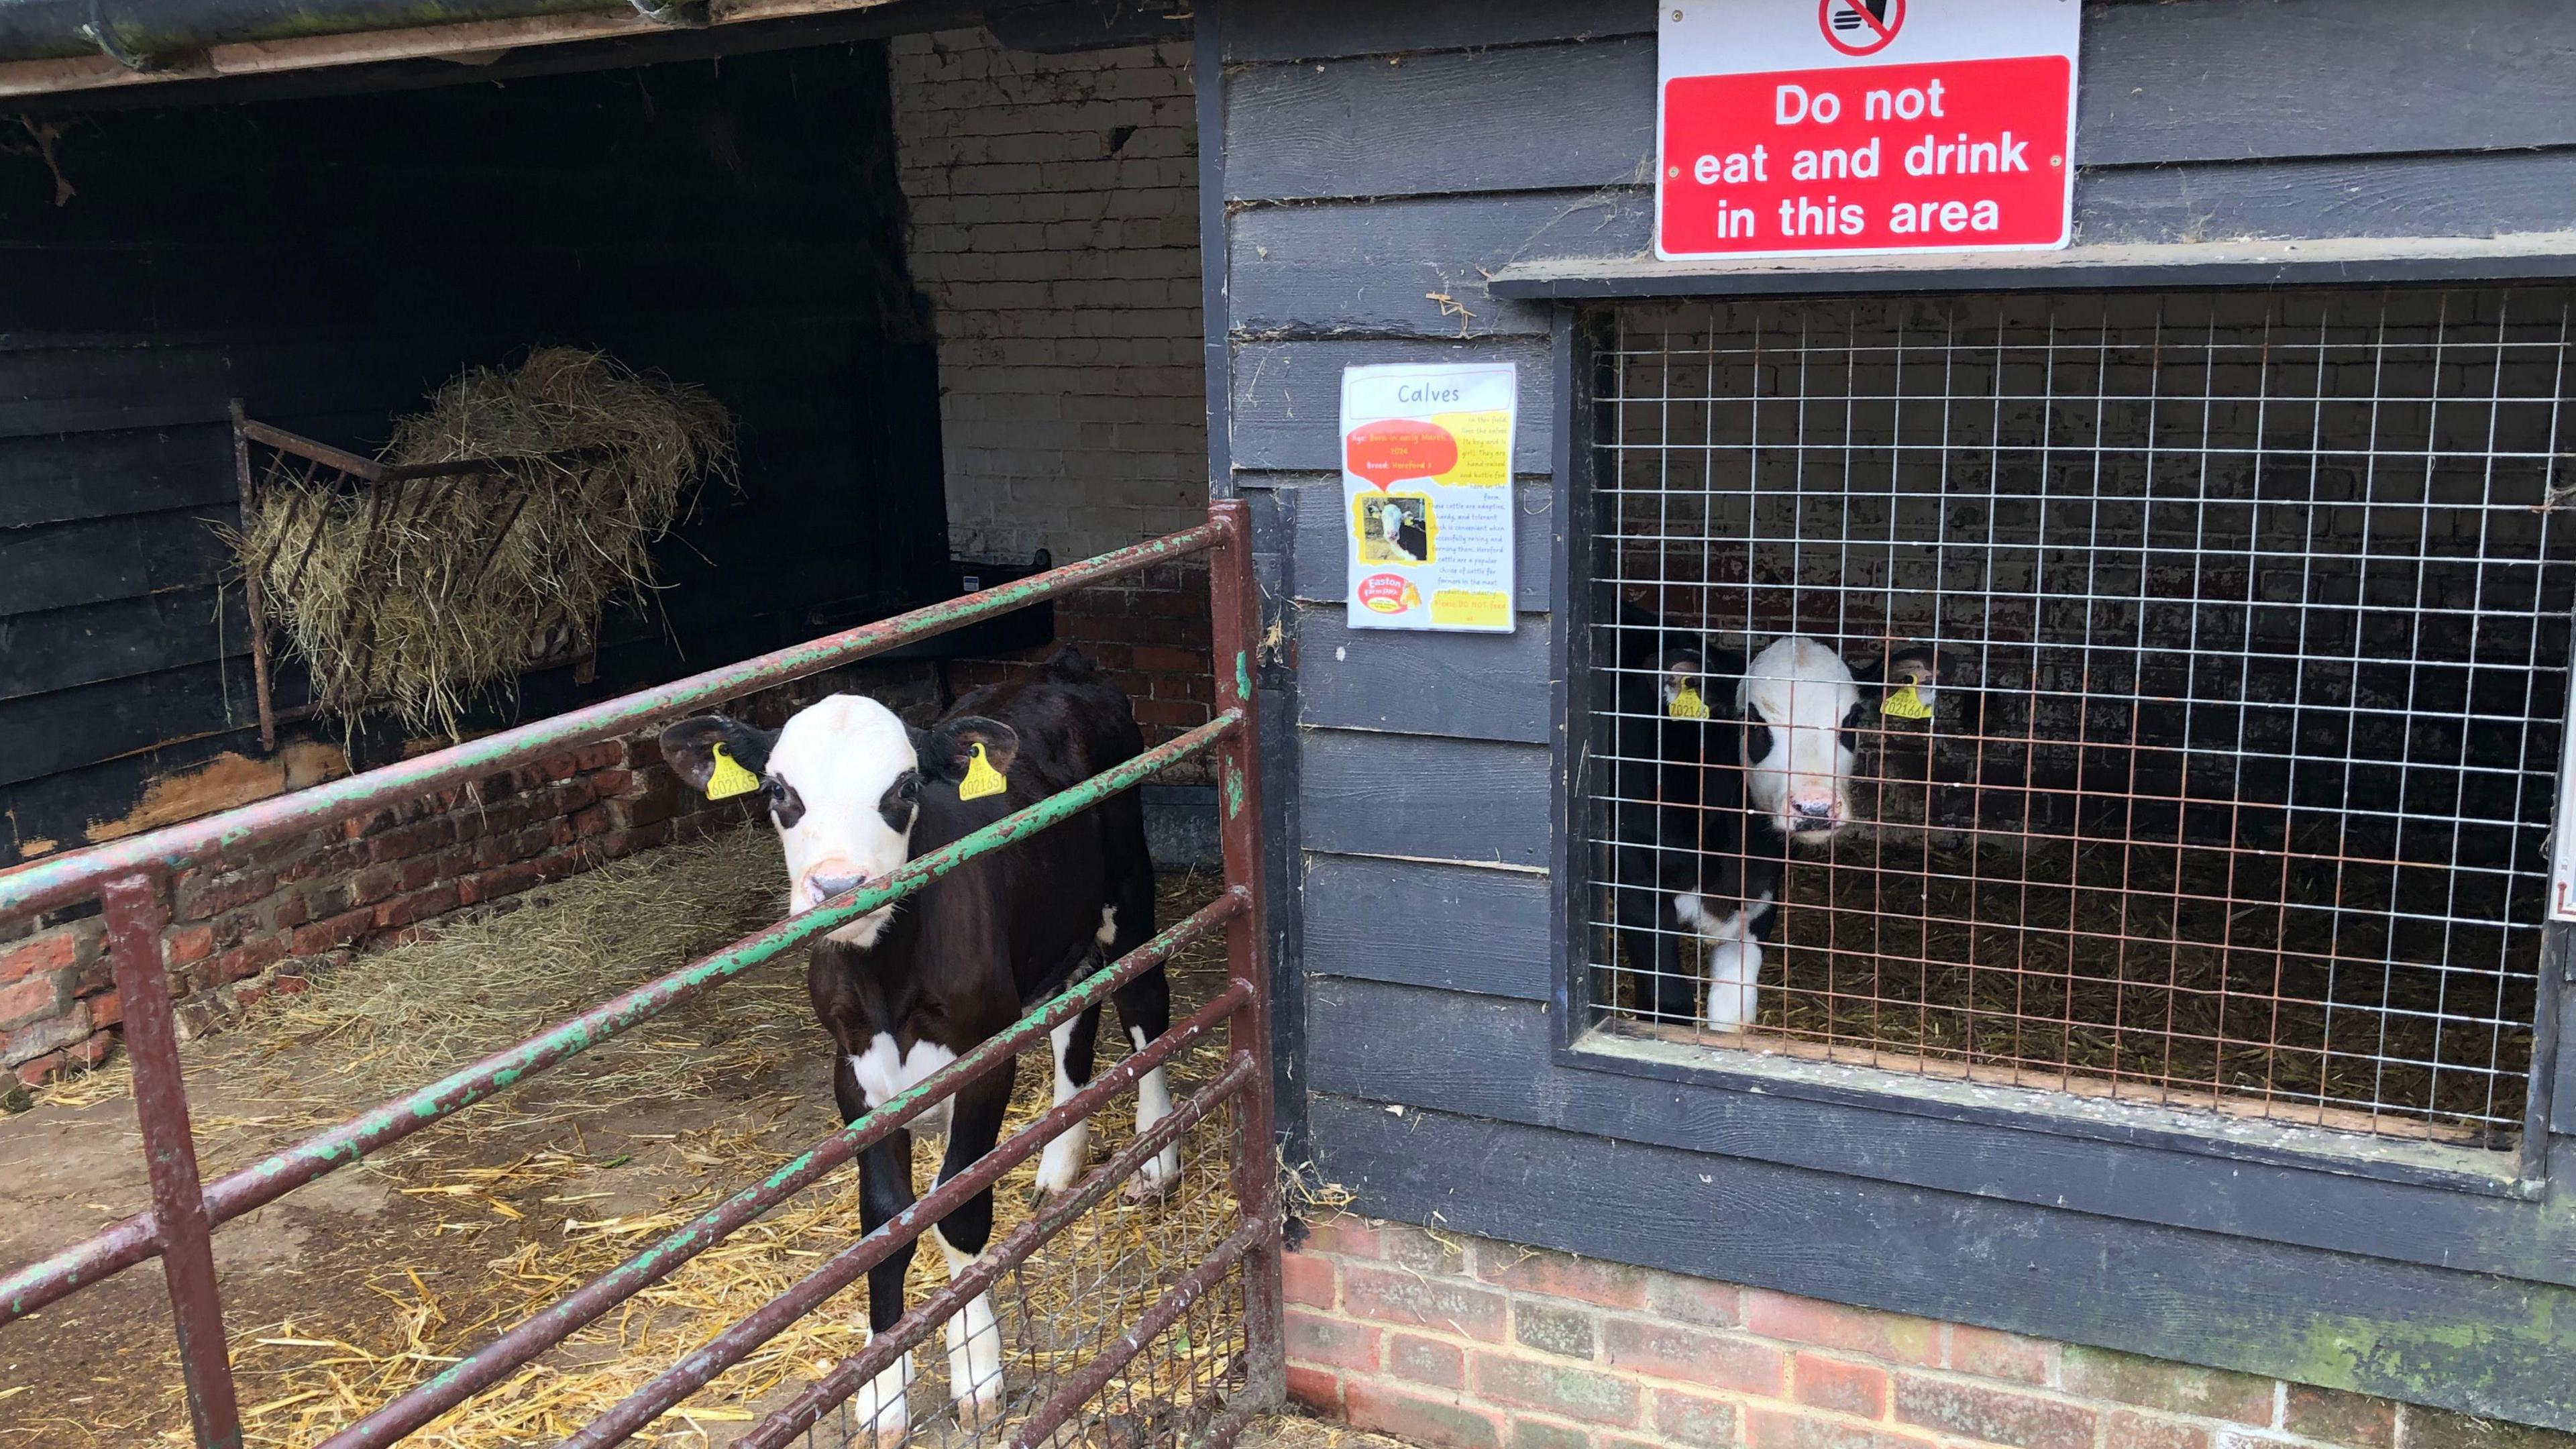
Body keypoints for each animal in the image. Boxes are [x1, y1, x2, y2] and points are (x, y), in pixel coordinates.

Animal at [654, 649, 1169, 1433]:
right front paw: (880, 1390)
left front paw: (978, 1370)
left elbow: (957, 1211)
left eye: (903, 787)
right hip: (1058, 928)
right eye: (778, 789)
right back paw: (1058, 1163)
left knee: (1144, 1002)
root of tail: (1061, 670)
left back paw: (1157, 1153)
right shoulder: (853, 1076)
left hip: (1129, 890)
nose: (839, 885)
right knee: (1072, 1020)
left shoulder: (983, 1058)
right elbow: (886, 1225)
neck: (885, 976)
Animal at [1597, 603, 1937, 1031]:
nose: (1814, 808)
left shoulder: (1762, 896)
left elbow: (1731, 1018)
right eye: (1754, 720)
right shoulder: (1636, 881)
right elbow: (1669, 1006)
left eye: (1853, 719)